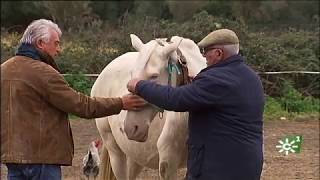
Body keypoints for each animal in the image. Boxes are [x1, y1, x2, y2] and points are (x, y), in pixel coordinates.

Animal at [90, 34, 205, 180]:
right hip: (115, 152)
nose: (131, 128)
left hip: (135, 155)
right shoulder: (168, 163)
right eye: (132, 74)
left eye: (154, 76)